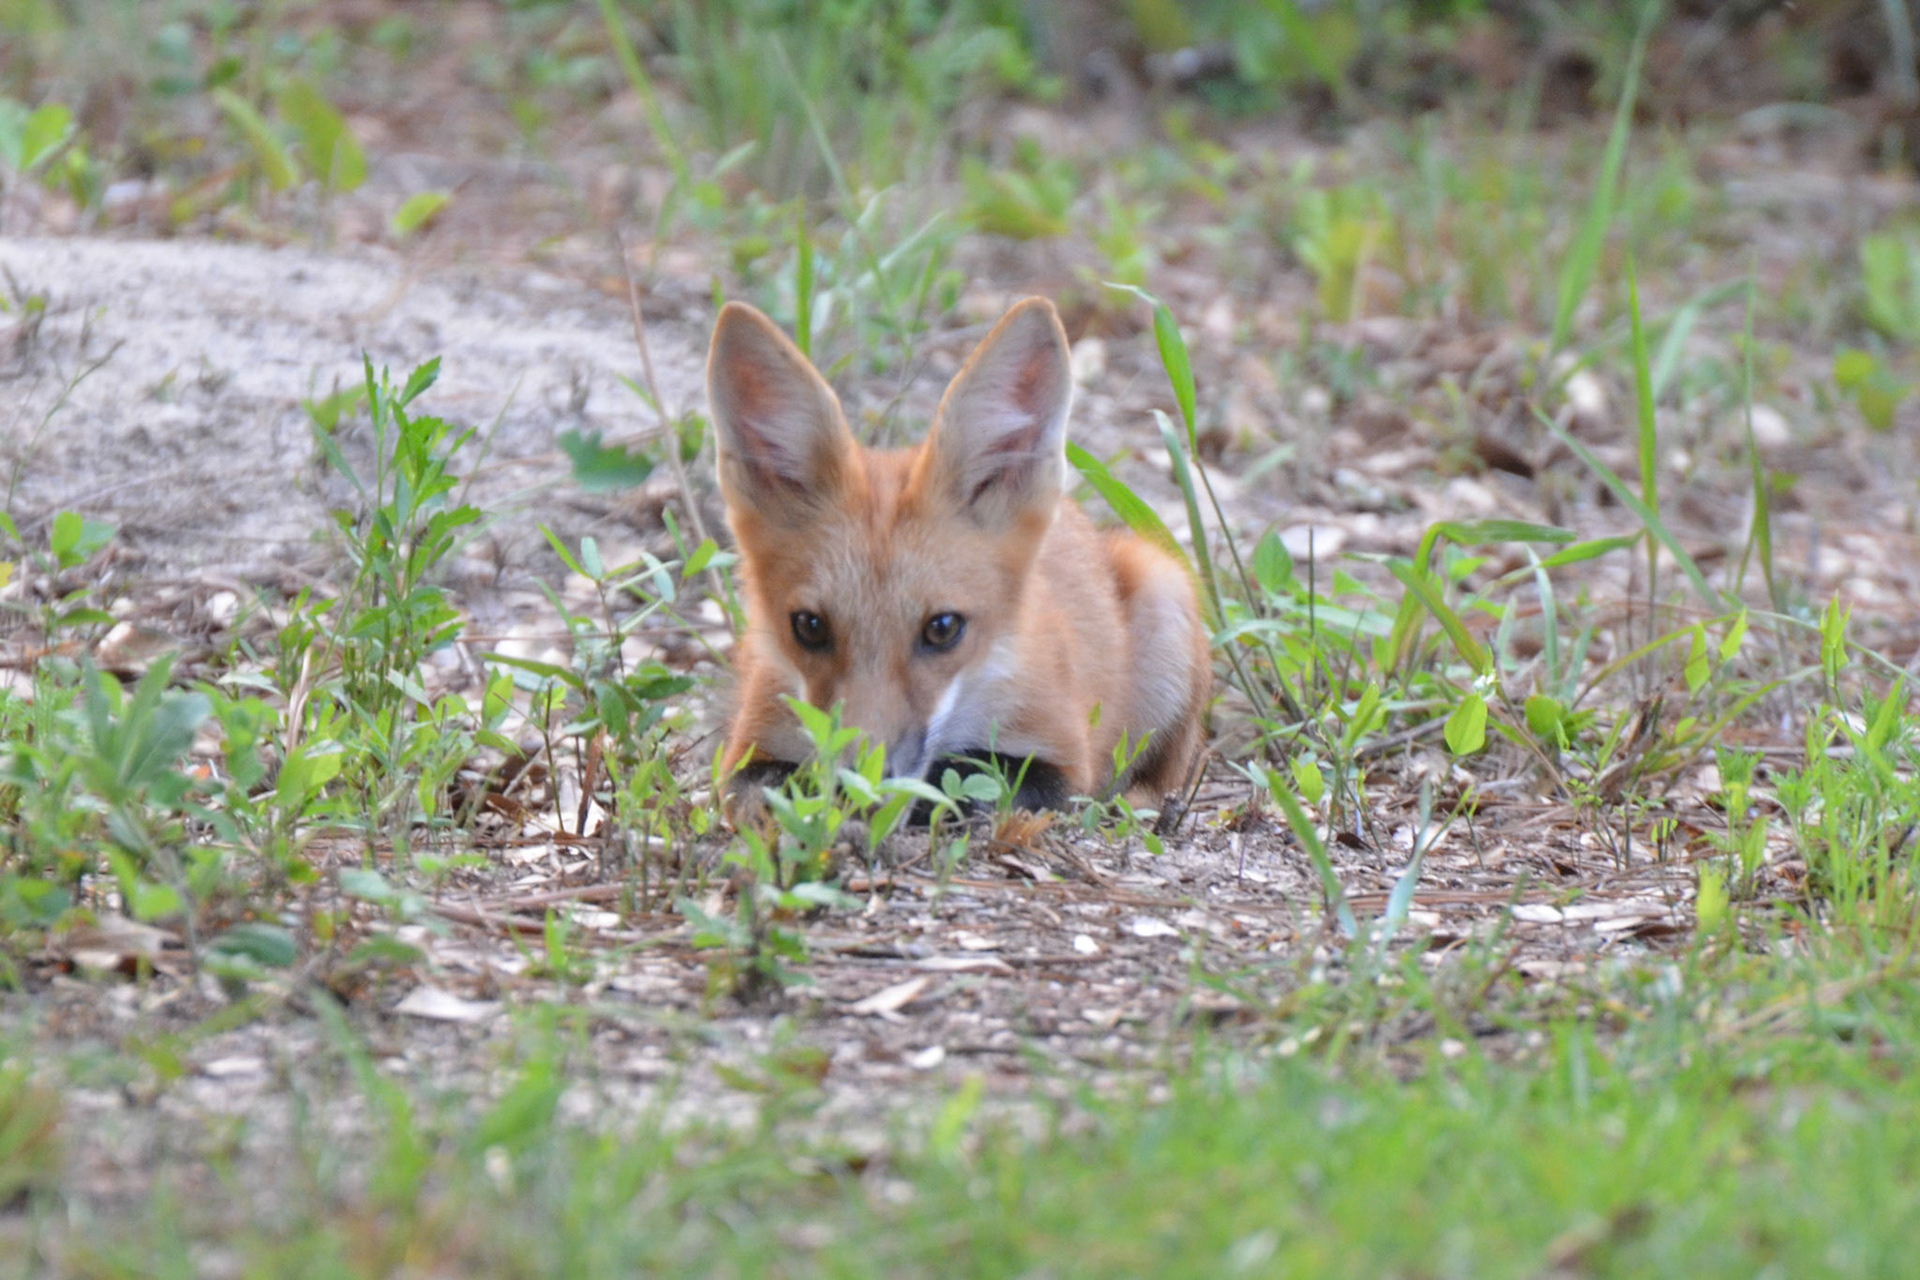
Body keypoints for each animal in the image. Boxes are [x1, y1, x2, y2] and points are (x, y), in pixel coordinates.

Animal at [708, 295, 1210, 820]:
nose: (862, 788)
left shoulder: (1065, 763)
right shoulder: (747, 750)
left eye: (943, 628)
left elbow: (963, 781)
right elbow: (778, 784)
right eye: (809, 626)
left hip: (1164, 588)